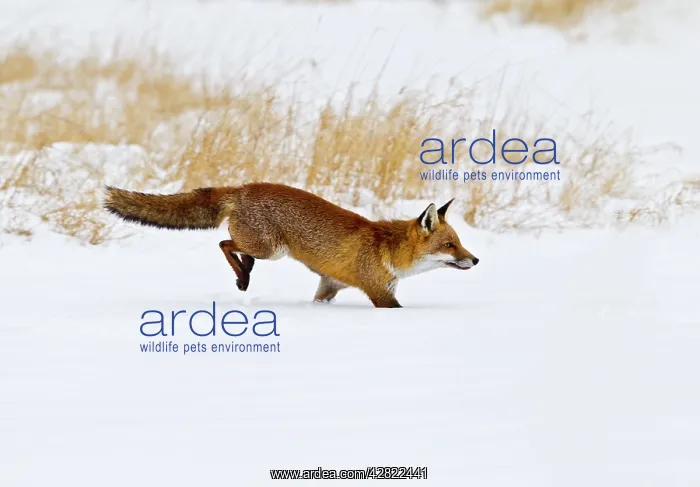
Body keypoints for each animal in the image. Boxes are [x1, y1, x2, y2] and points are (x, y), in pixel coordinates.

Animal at [104, 182, 479, 308]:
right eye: (449, 245)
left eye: (459, 243)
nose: (475, 261)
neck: (389, 250)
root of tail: (244, 187)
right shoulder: (380, 294)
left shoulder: (329, 285)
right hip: (270, 248)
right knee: (224, 243)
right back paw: (243, 278)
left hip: (264, 248)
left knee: (236, 248)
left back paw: (245, 272)